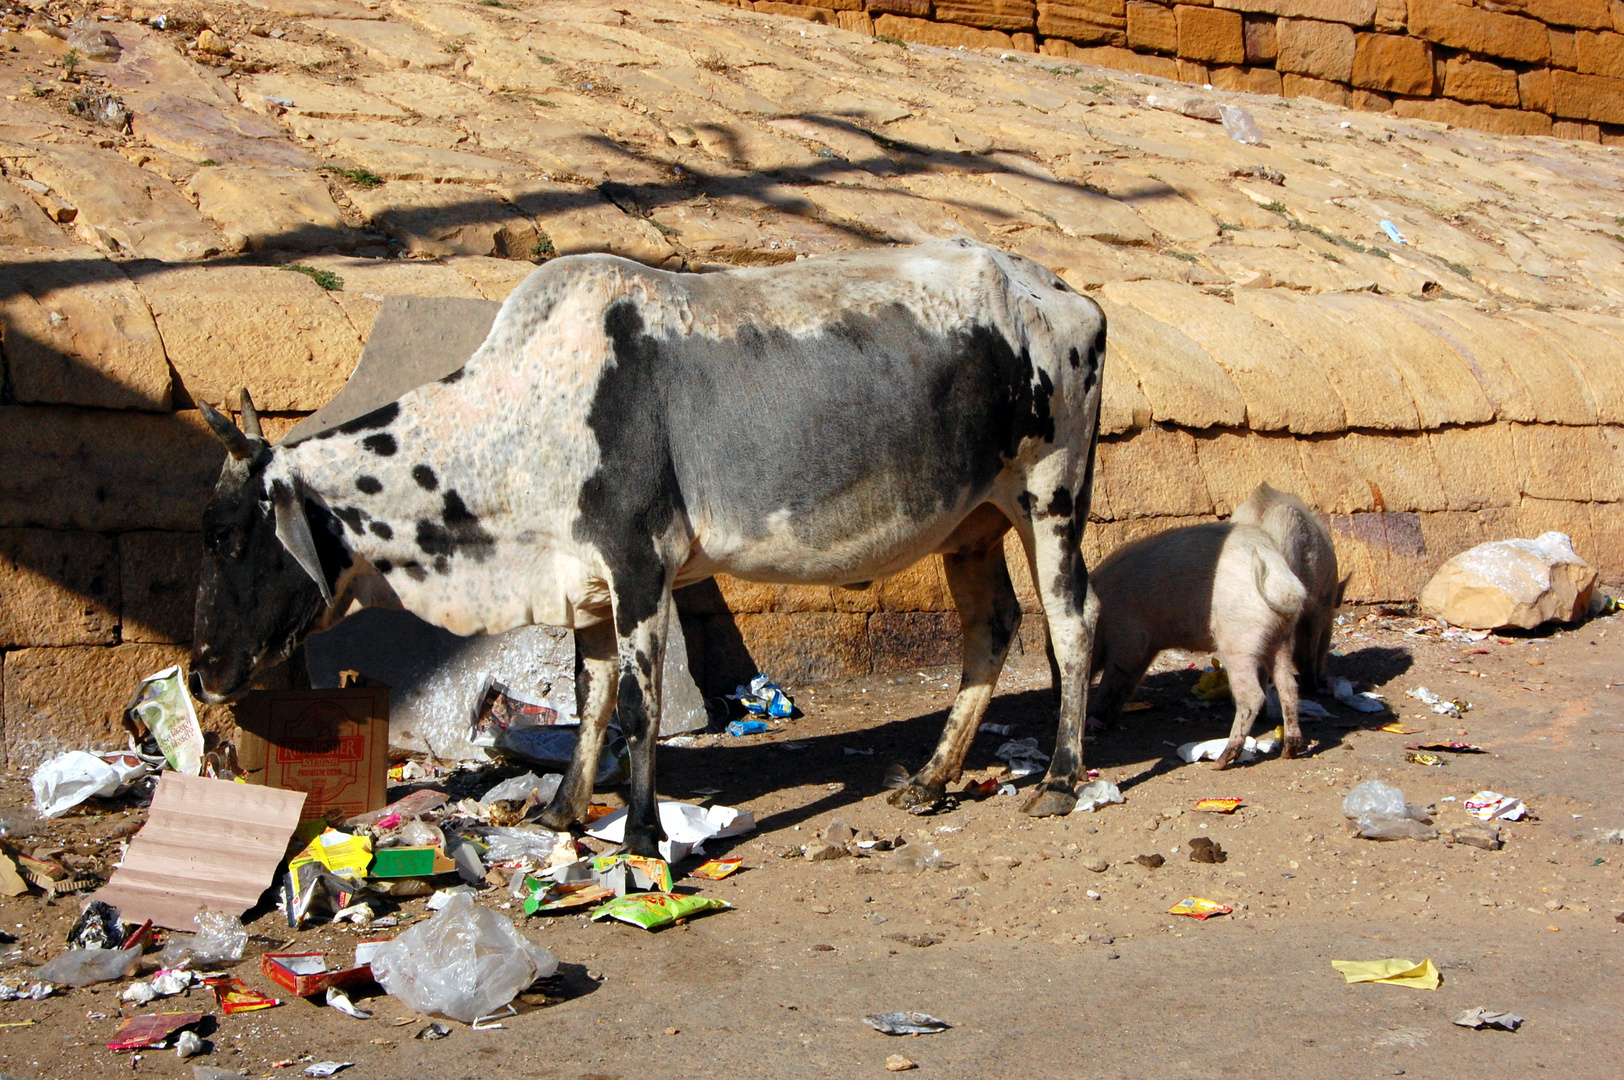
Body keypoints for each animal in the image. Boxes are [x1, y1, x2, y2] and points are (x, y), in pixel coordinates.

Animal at [186, 240, 1104, 857]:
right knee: (991, 628)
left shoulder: (639, 567)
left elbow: (639, 708)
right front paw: (562, 811)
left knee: (1073, 622)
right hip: (970, 523)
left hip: (1050, 495)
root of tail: (1059, 293)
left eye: (229, 536)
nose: (201, 671)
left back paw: (1060, 778)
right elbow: (589, 702)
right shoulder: (585, 585)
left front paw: (639, 835)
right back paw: (931, 777)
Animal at [1084, 519, 1312, 766]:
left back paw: (1222, 761)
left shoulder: (1128, 637)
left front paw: (1093, 717)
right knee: (1288, 685)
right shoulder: (1146, 650)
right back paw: (1289, 751)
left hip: (1240, 641)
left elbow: (1113, 678)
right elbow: (1126, 684)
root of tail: (1282, 581)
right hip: (1282, 637)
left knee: (1253, 695)